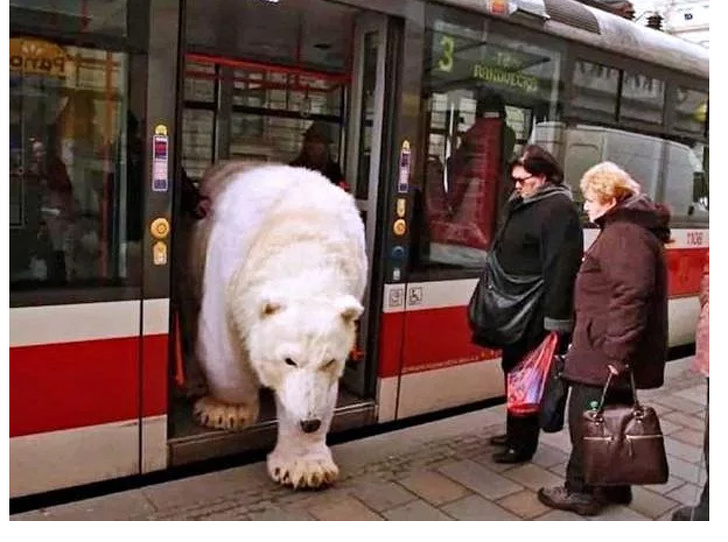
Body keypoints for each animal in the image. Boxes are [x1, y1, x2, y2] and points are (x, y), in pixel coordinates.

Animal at [185, 159, 366, 490]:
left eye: (330, 360)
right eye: (289, 360)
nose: (309, 422)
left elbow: (324, 390)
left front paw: (307, 468)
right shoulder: (230, 267)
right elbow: (223, 348)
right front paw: (225, 412)